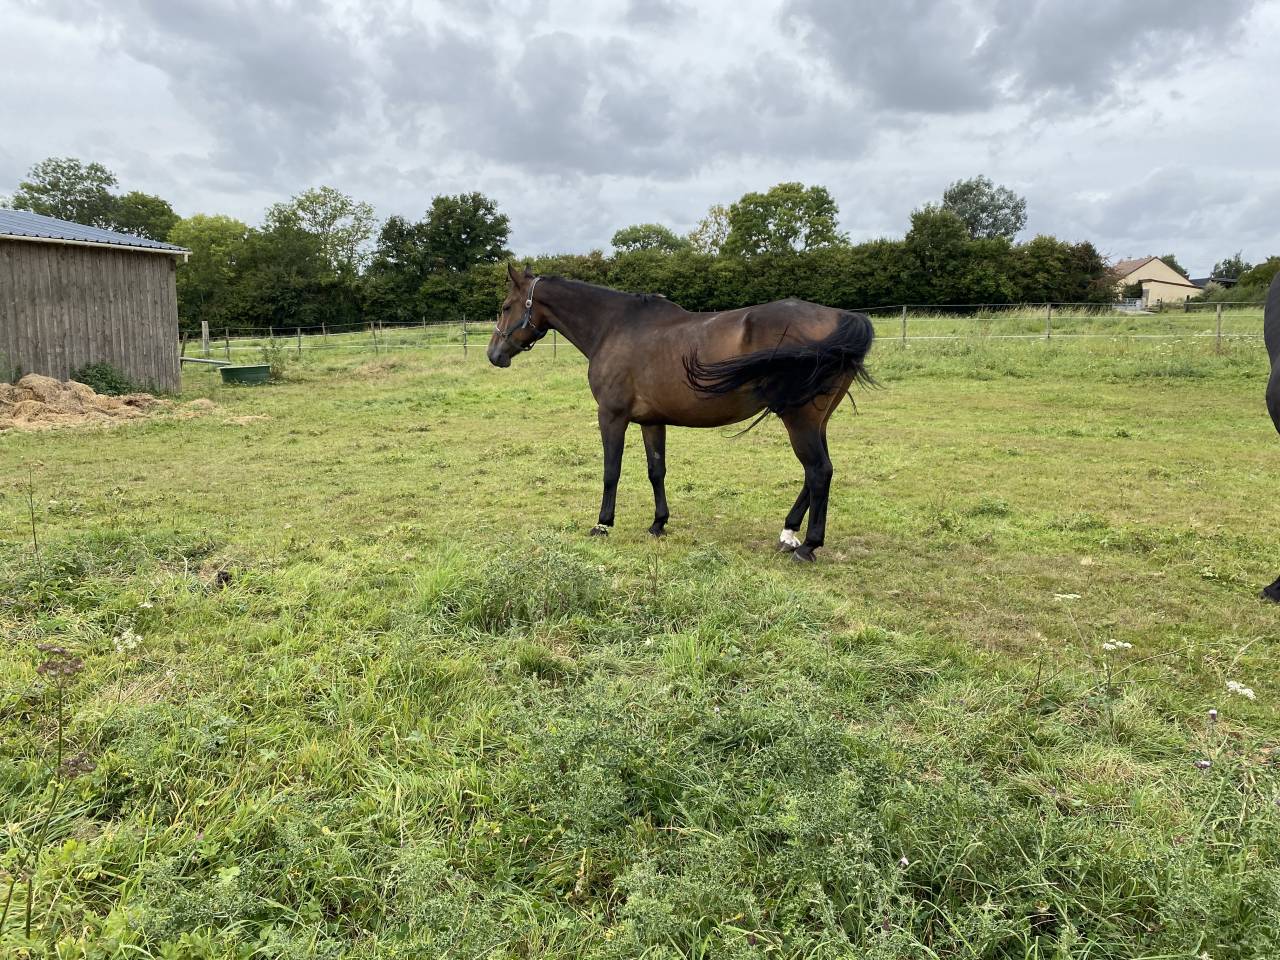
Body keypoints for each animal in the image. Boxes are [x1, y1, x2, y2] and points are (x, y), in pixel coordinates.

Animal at [486, 264, 875, 562]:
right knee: (815, 474)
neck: (614, 327)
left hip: (800, 420)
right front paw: (658, 523)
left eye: (505, 306)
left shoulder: (611, 416)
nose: (494, 355)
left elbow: (611, 471)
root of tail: (842, 317)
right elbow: (656, 471)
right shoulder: (652, 421)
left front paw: (603, 524)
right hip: (815, 421)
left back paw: (807, 546)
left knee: (819, 471)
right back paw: (788, 534)